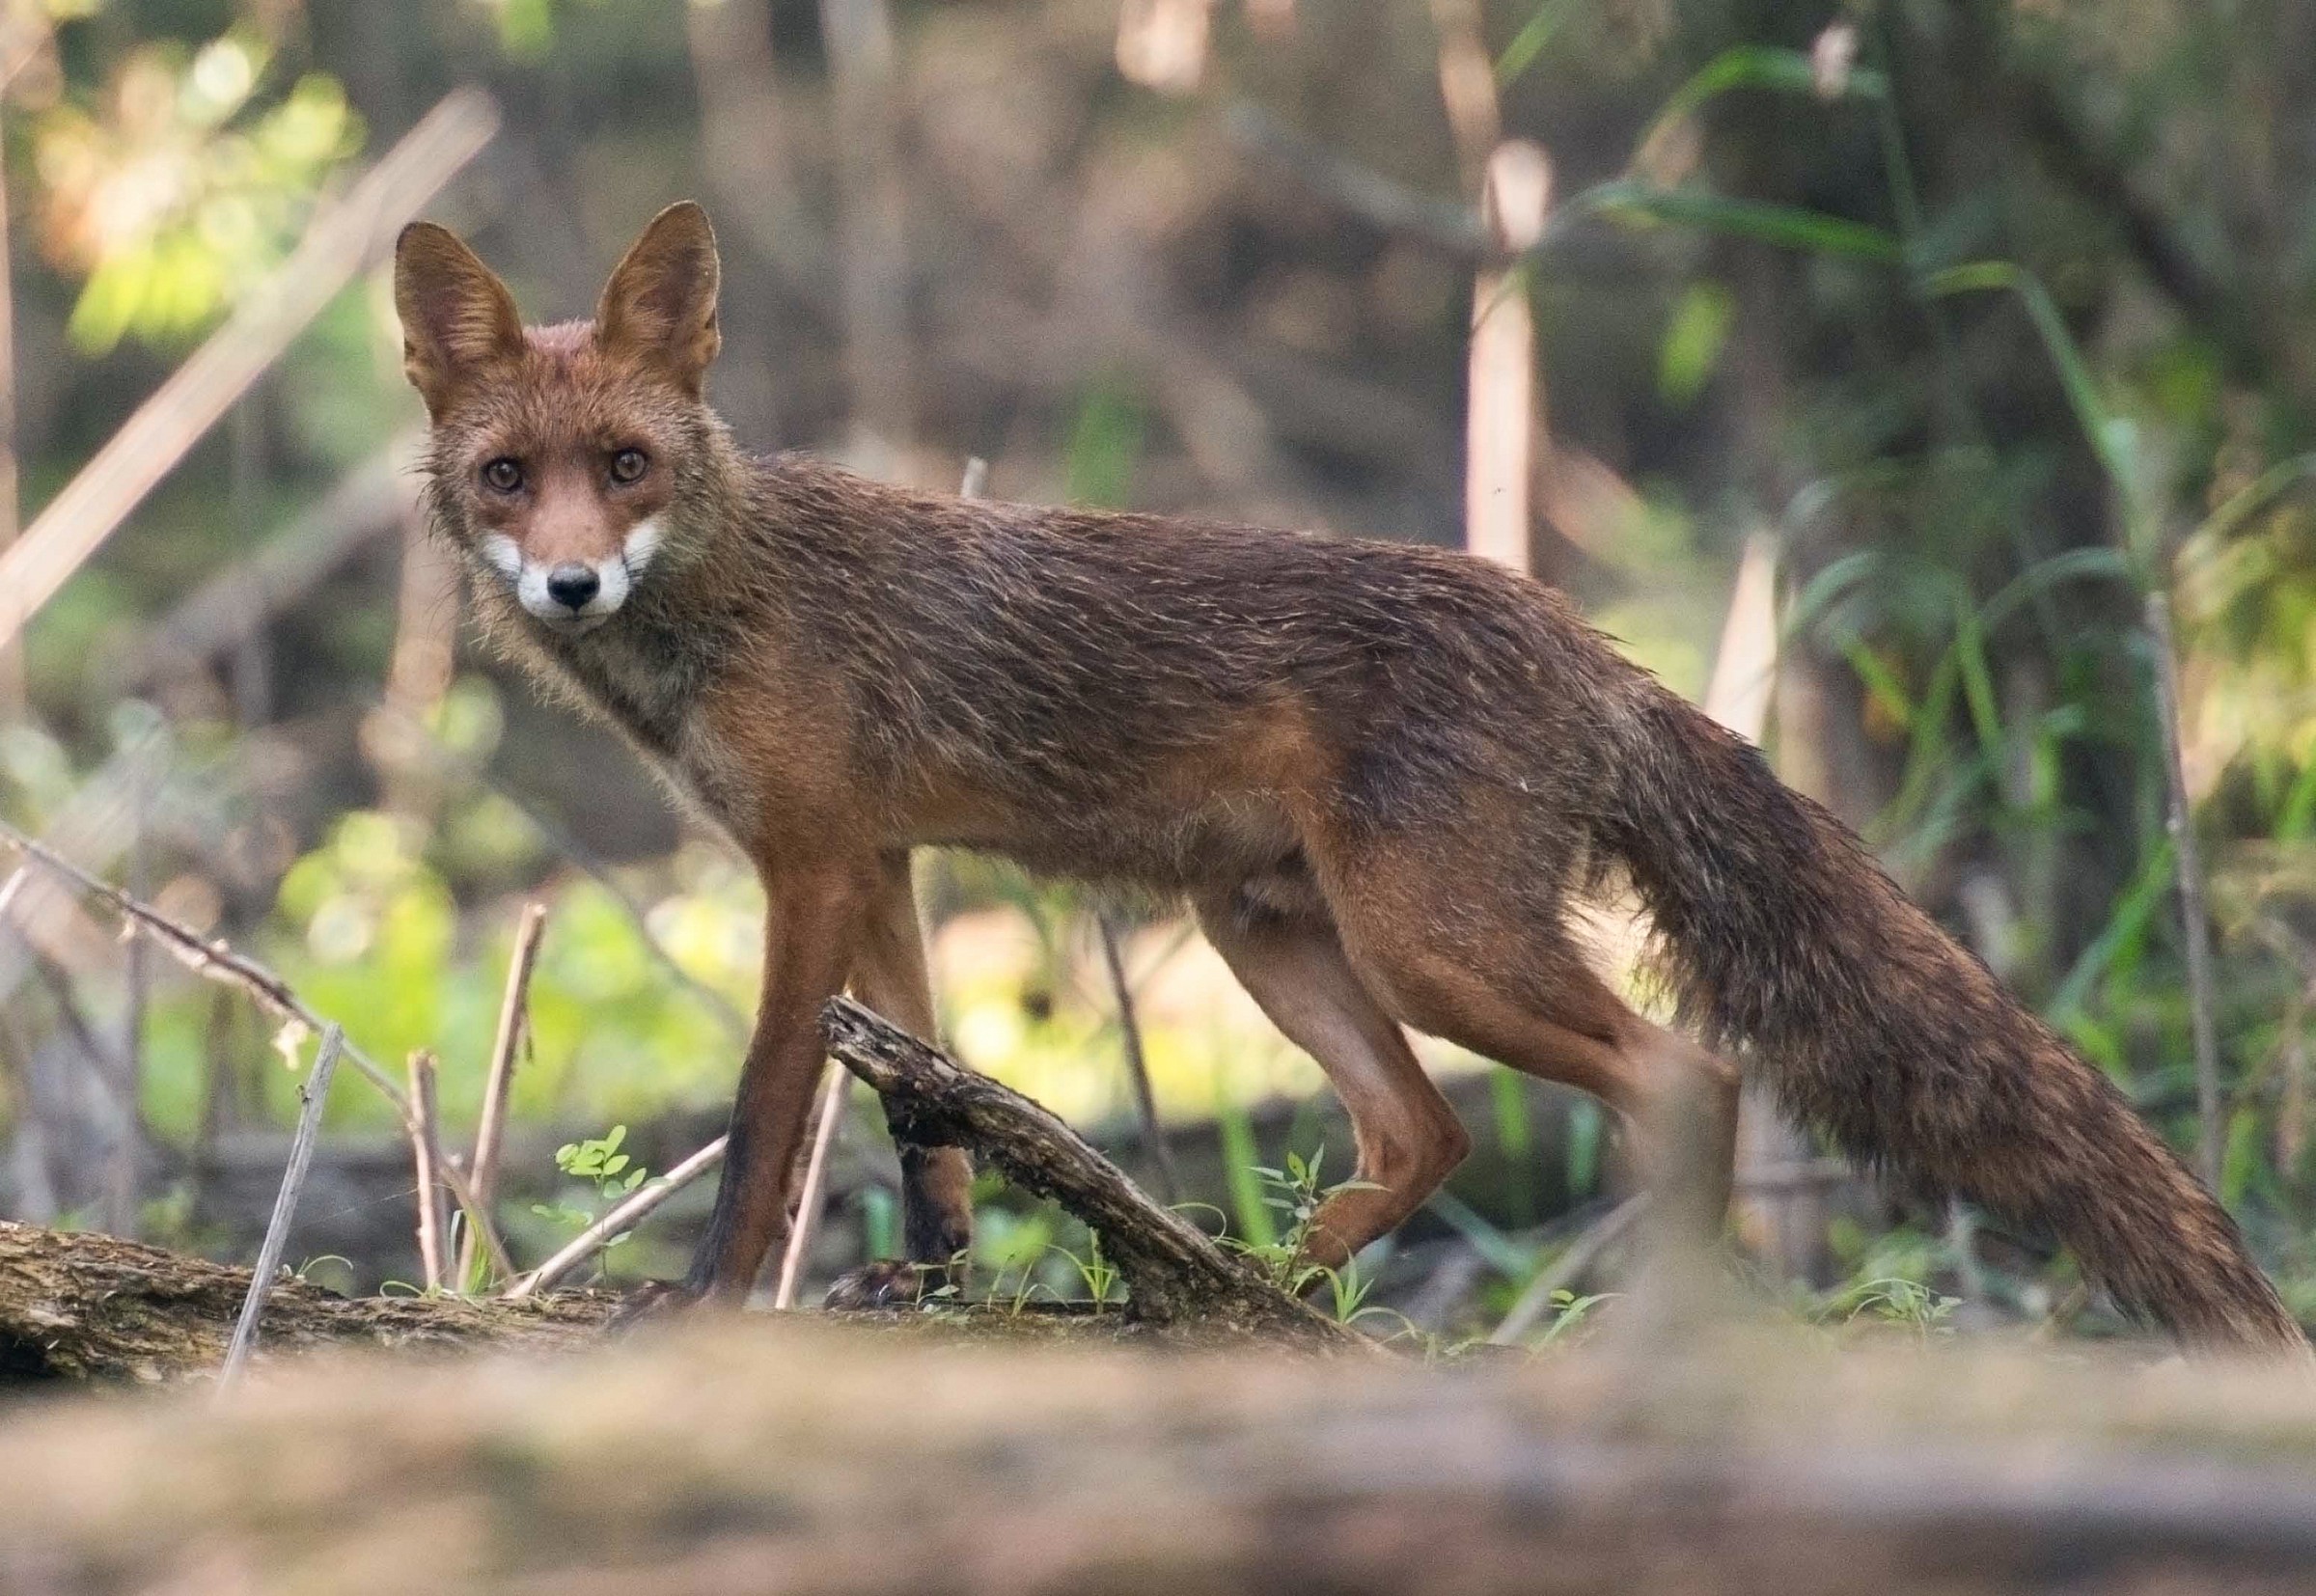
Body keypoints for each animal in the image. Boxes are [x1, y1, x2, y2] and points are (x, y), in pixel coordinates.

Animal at [393, 200, 2305, 1353]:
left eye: (626, 465)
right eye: (507, 479)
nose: (568, 585)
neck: (734, 589)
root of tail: (1583, 637)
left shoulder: (806, 866)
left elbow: (772, 1110)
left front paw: (704, 1297)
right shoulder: (880, 863)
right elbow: (923, 1104)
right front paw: (923, 1279)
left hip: (1429, 946)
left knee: (1678, 1078)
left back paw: (1629, 1337)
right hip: (1277, 937)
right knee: (1426, 1128)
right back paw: (1235, 1295)